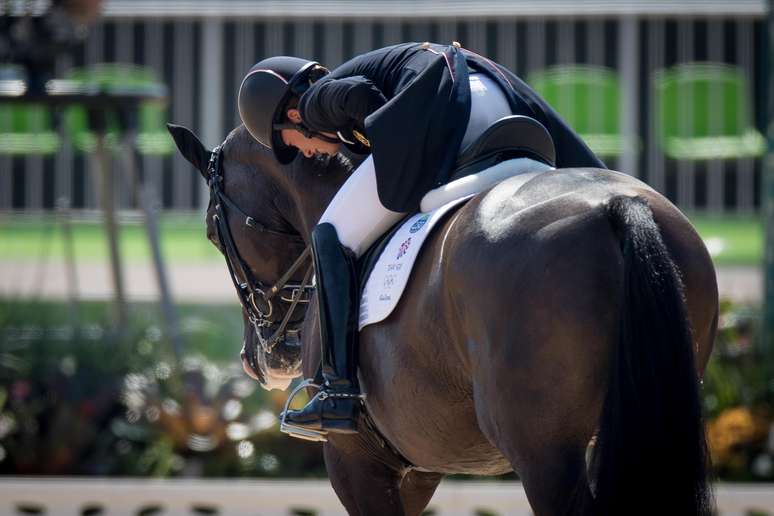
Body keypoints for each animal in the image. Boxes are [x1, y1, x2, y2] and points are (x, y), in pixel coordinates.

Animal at [170, 122, 720, 516]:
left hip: (544, 454)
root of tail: (615, 205)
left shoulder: (359, 461)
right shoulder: (418, 467)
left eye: (213, 233)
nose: (261, 359)